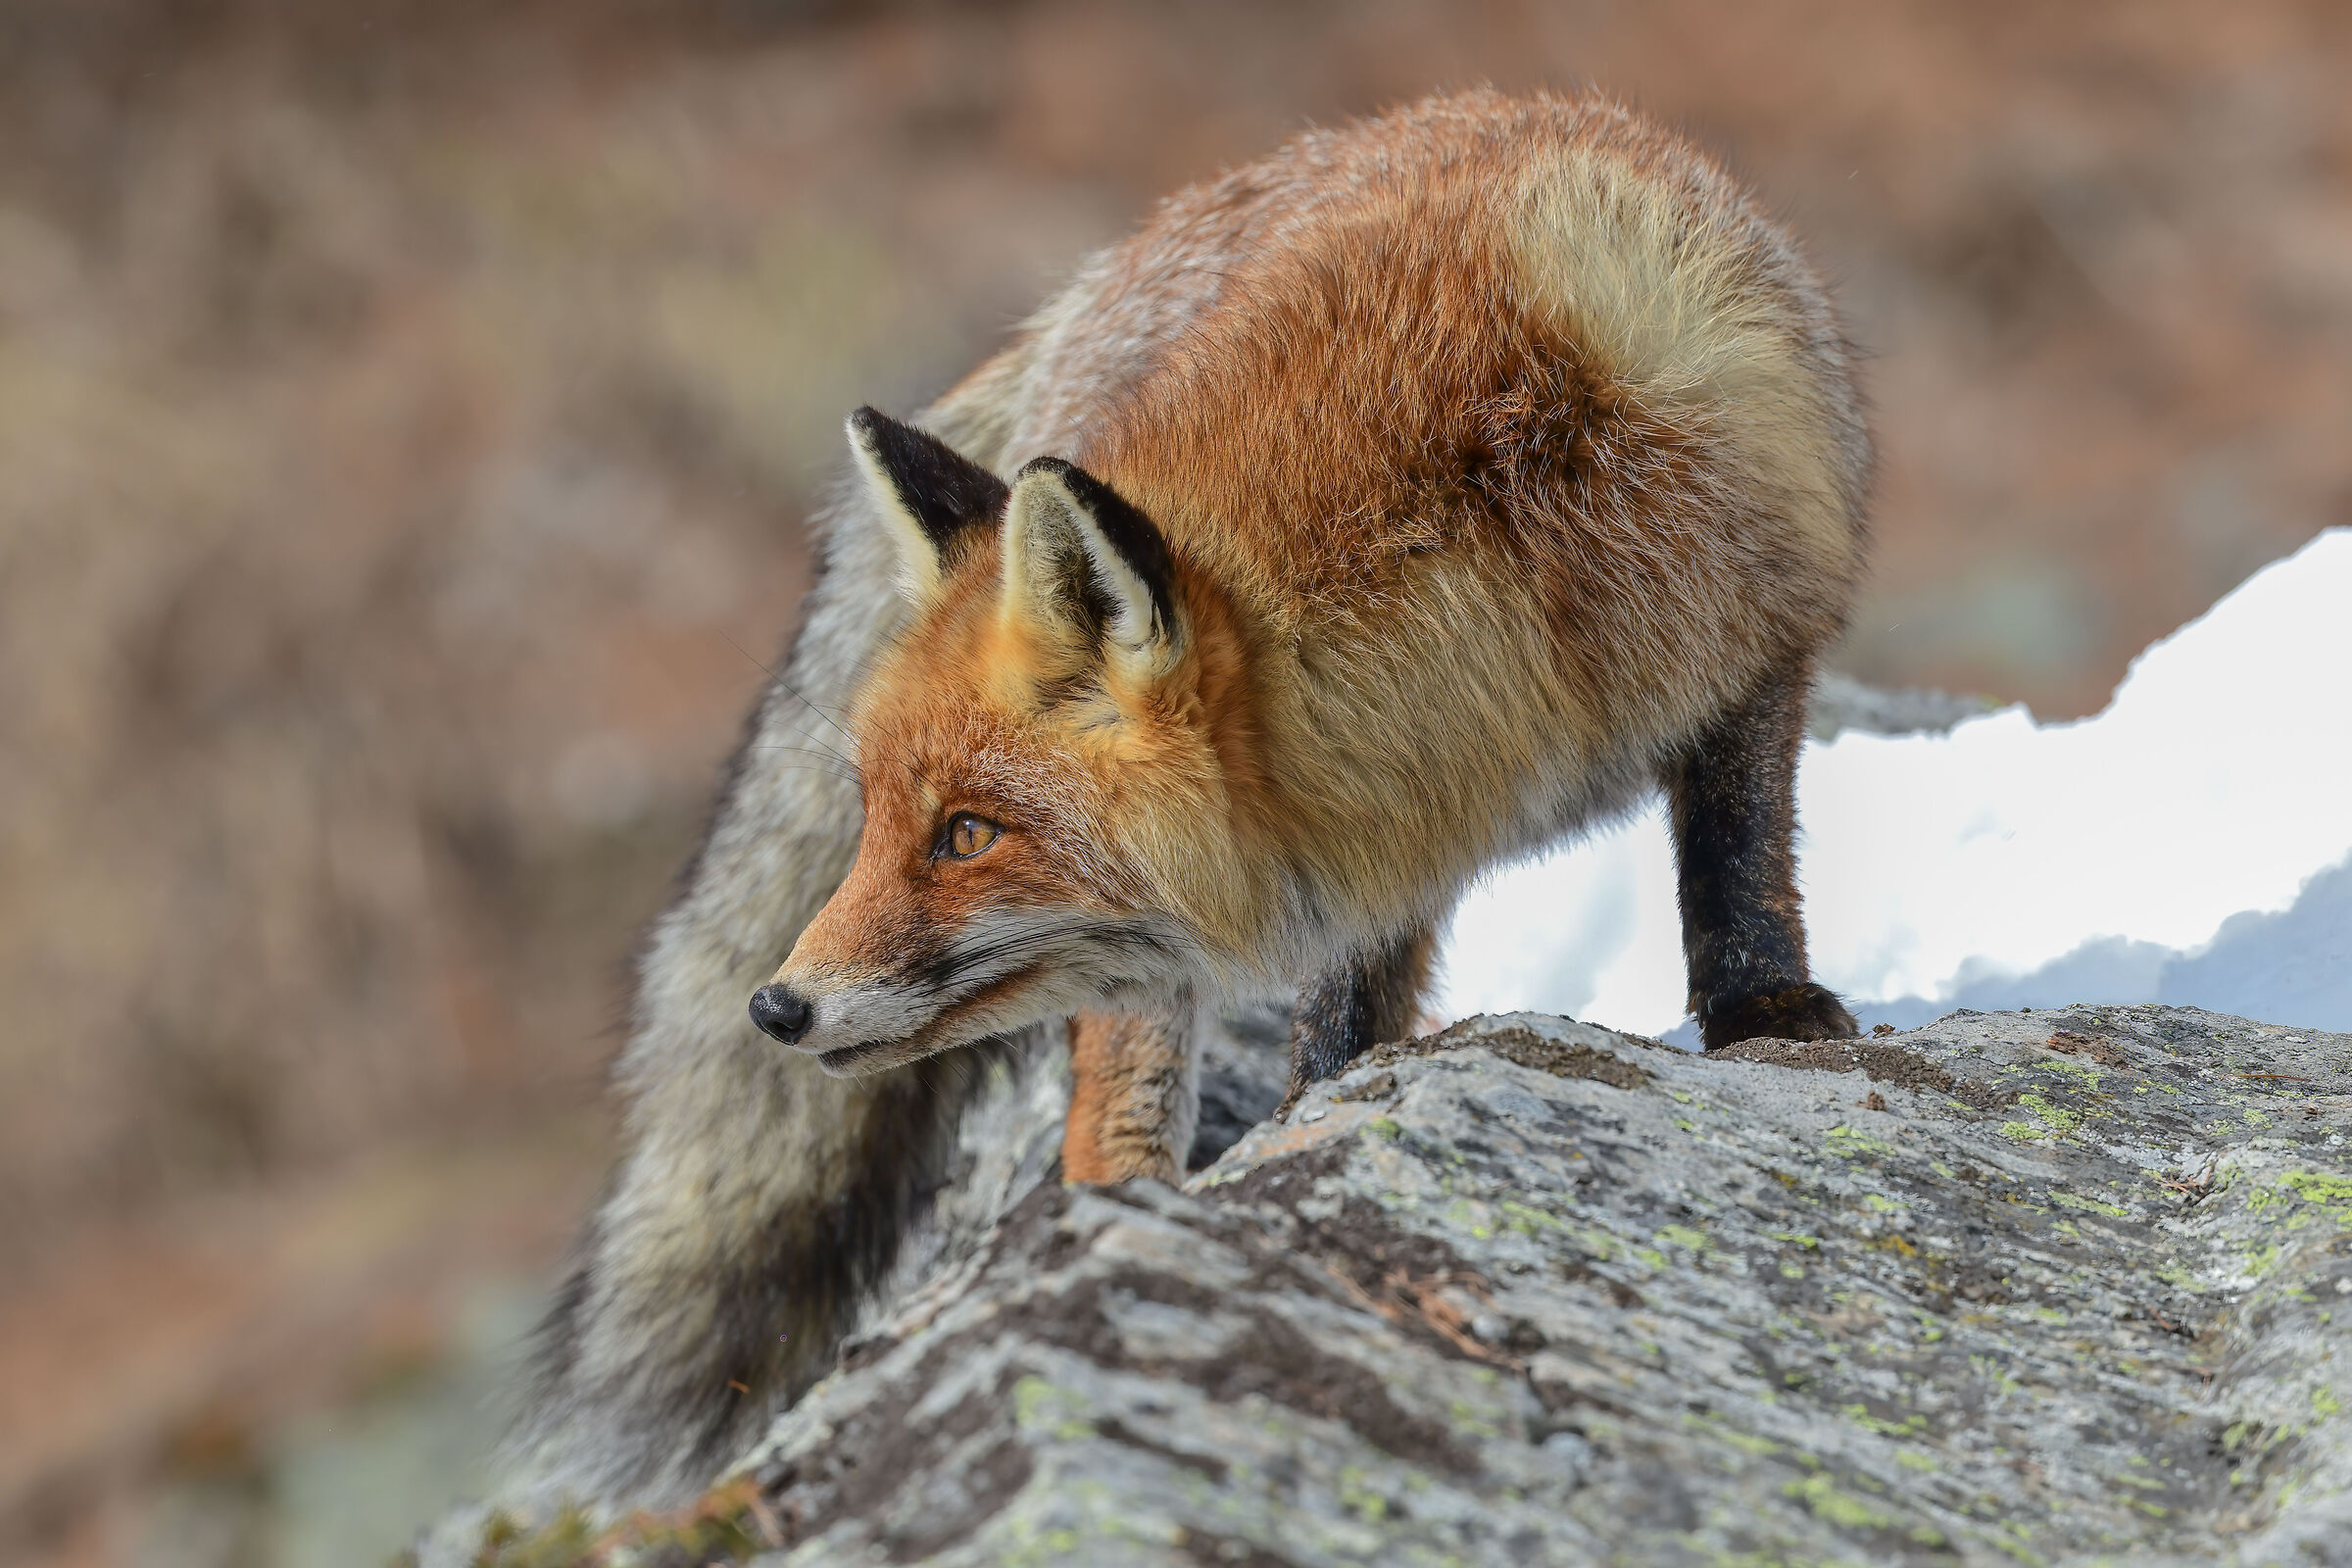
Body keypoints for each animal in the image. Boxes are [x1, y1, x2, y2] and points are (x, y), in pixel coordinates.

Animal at [512, 88, 1865, 1509]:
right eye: (876, 815)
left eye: (968, 833)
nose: (775, 1007)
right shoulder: (1364, 835)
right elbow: (1324, 1000)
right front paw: (1305, 1122)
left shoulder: (1752, 625)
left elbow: (1736, 847)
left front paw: (1763, 1009)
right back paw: (1121, 1205)